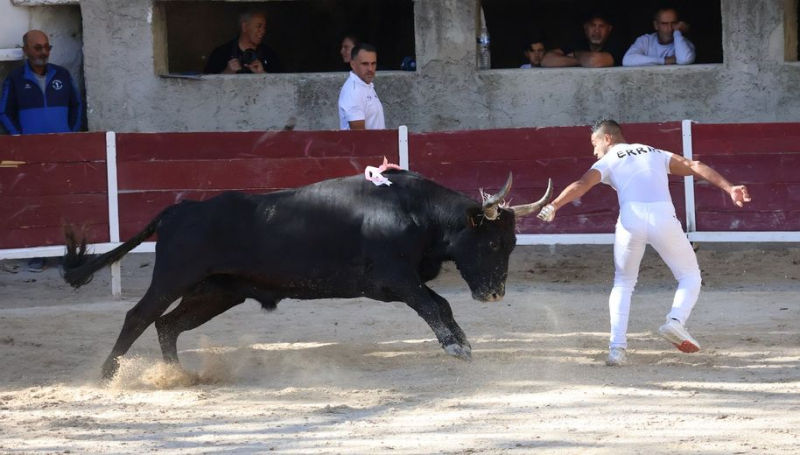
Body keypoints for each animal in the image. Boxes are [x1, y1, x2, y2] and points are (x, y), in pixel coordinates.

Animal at [61, 169, 552, 380]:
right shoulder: (395, 280)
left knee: (168, 324)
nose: (495, 294)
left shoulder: (402, 282)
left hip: (218, 292)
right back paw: (108, 375)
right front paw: (457, 345)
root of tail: (178, 210)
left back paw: (178, 376)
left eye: (510, 245)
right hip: (173, 278)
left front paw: (462, 343)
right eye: (491, 243)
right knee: (139, 317)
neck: (415, 212)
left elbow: (439, 303)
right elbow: (435, 303)